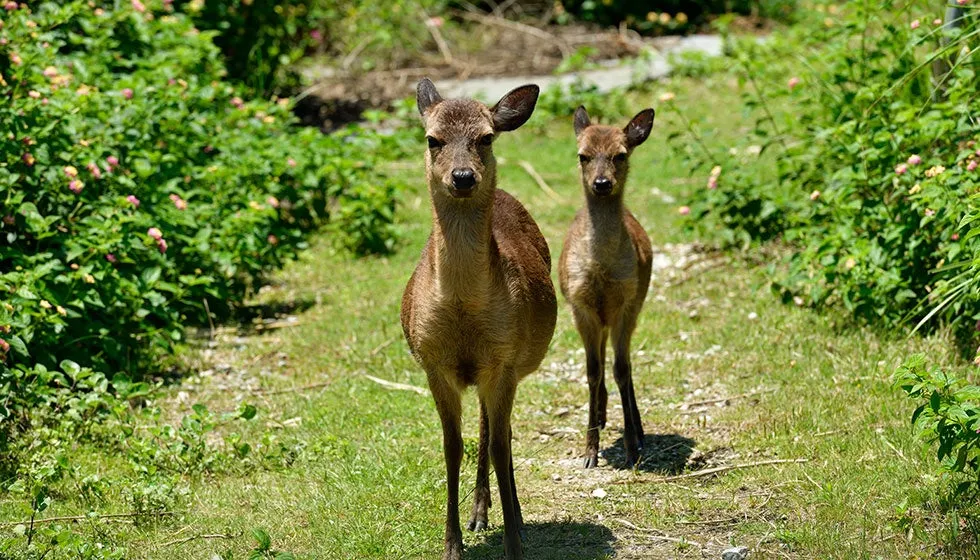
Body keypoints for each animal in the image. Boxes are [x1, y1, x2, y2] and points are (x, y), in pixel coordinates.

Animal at [400, 78, 557, 560]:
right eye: (432, 139)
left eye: (486, 137)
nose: (463, 176)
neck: (464, 311)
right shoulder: (433, 364)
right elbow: (452, 447)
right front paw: (451, 543)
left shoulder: (504, 358)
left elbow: (500, 445)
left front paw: (514, 545)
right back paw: (479, 513)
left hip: (514, 364)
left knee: (496, 431)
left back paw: (510, 515)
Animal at [558, 105, 655, 469]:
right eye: (582, 155)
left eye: (620, 154)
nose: (602, 183)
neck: (601, 269)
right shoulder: (580, 305)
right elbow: (592, 371)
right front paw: (589, 452)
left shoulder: (626, 302)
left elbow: (621, 370)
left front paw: (630, 447)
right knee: (599, 359)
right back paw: (599, 415)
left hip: (635, 302)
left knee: (623, 363)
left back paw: (638, 431)